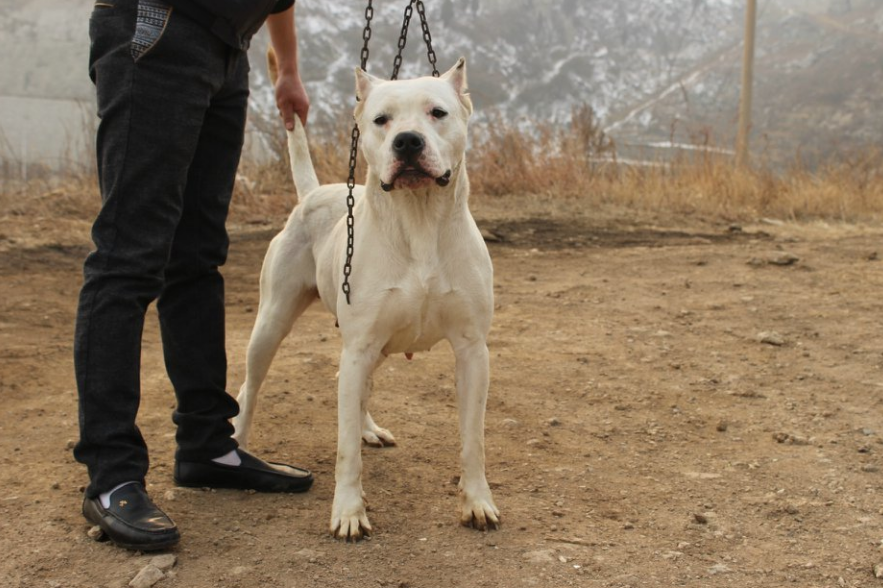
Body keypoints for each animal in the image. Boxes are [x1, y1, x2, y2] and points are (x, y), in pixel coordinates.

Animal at [231, 57, 500, 540]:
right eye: (381, 120)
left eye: (438, 112)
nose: (407, 141)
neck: (418, 218)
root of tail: (313, 193)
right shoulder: (358, 346)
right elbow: (345, 454)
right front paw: (349, 511)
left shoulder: (472, 351)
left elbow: (474, 440)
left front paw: (477, 502)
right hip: (272, 324)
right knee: (252, 386)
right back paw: (238, 446)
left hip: (370, 347)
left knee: (355, 391)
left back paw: (367, 429)